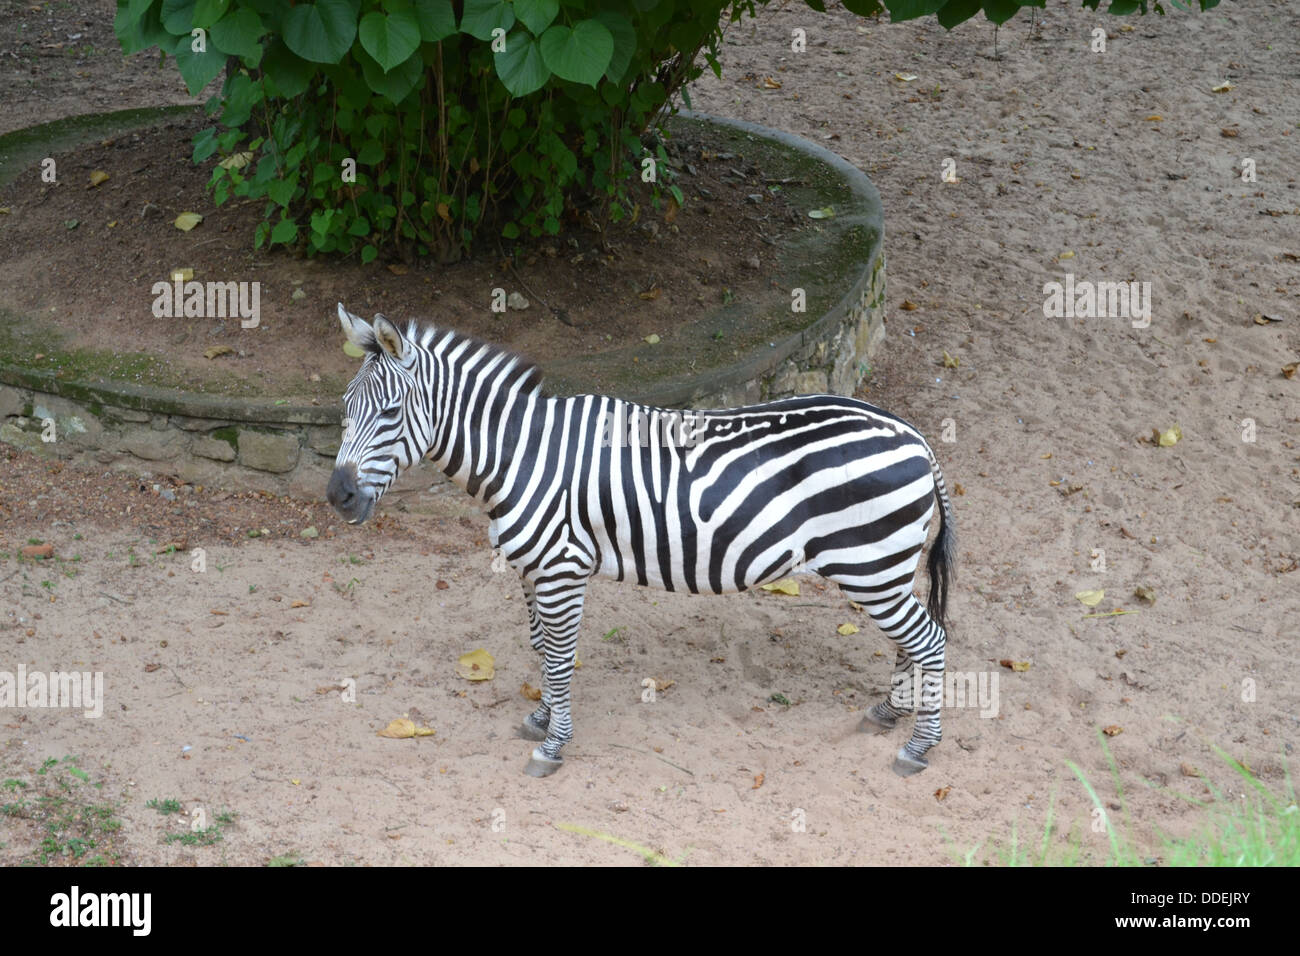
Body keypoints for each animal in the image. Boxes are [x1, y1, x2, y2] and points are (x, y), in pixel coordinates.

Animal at [325, 304, 956, 780]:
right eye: (344, 409)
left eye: (389, 412)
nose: (337, 496)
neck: (522, 455)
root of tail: (914, 434)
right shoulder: (533, 569)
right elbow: (538, 645)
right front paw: (541, 719)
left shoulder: (562, 568)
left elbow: (559, 657)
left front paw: (553, 744)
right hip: (887, 568)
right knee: (911, 640)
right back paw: (888, 713)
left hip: (869, 566)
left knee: (930, 640)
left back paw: (919, 748)